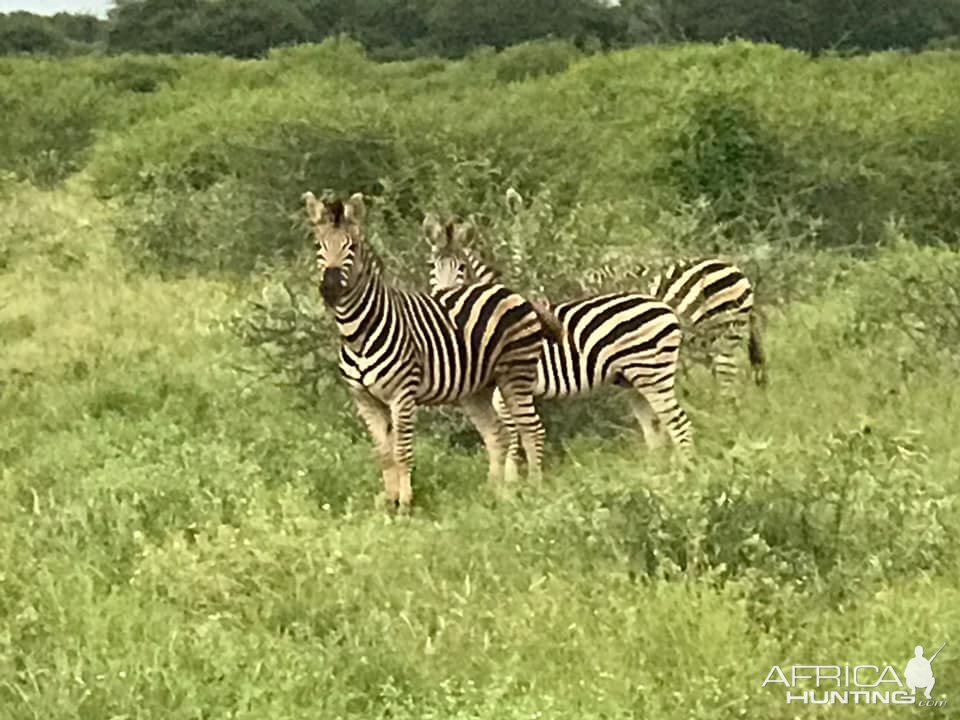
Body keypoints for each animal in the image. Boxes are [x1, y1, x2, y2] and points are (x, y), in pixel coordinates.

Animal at [304, 188, 564, 510]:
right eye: (320, 245)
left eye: (350, 247)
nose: (329, 288)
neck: (357, 333)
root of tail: (514, 292)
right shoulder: (365, 401)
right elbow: (384, 454)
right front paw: (388, 502)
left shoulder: (402, 395)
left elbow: (402, 452)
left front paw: (405, 504)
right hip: (477, 390)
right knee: (497, 435)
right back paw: (494, 494)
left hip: (516, 376)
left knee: (532, 430)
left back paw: (534, 492)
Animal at [426, 217, 688, 458]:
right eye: (433, 267)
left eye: (462, 267)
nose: (443, 294)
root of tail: (665, 307)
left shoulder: (505, 391)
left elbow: (514, 440)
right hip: (633, 379)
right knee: (656, 429)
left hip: (651, 371)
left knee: (678, 422)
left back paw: (685, 469)